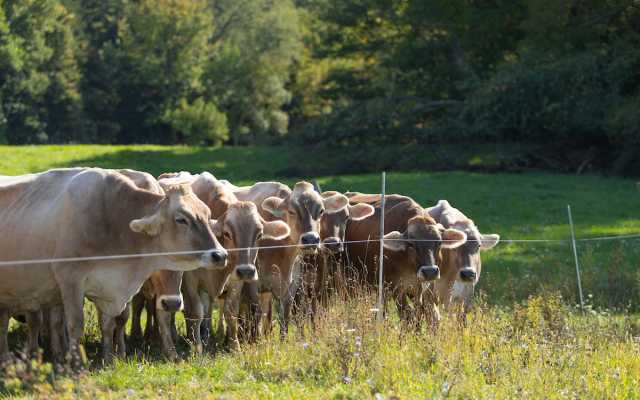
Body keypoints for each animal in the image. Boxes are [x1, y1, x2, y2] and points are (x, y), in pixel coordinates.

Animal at [0, 167, 229, 364]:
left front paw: (109, 359)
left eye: (208, 216)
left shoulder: (107, 287)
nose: (220, 255)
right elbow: (75, 325)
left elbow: (108, 324)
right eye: (181, 219)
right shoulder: (70, 279)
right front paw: (77, 364)